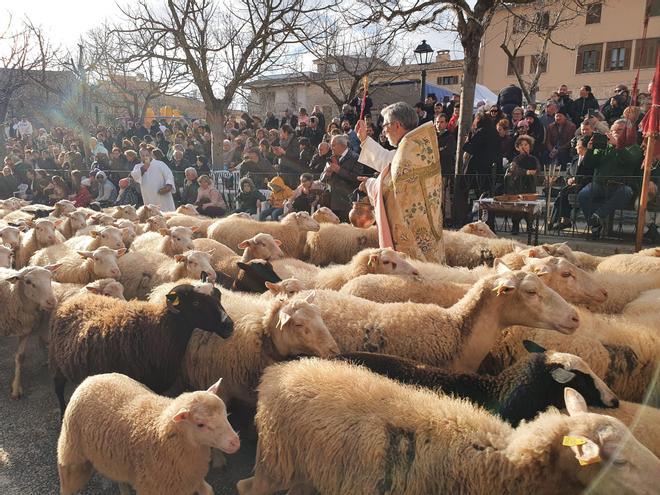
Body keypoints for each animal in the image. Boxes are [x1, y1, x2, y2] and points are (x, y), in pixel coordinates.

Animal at [49, 282, 235, 418]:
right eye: (196, 302)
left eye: (218, 296)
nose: (229, 325)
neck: (160, 328)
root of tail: (73, 299)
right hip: (57, 363)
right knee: (57, 387)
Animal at [56, 374, 237, 495]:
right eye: (200, 424)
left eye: (226, 413)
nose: (235, 442)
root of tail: (90, 379)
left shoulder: (190, 478)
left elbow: (208, 490)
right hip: (71, 456)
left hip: (115, 460)